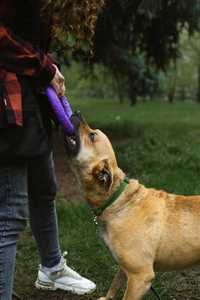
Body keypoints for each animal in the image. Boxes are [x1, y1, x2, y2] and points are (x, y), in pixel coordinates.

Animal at [65, 117, 200, 300]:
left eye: (92, 135)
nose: (77, 114)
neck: (117, 199)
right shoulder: (124, 266)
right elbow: (115, 284)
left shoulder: (139, 277)